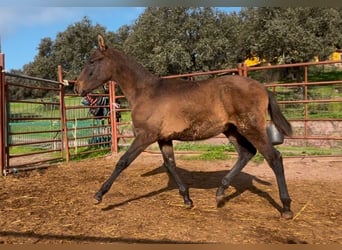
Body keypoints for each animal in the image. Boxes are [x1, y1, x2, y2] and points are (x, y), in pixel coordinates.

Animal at [75, 34, 294, 219]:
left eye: (92, 61)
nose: (77, 88)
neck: (146, 92)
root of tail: (263, 88)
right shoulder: (164, 138)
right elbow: (170, 164)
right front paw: (187, 199)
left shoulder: (145, 136)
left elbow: (123, 161)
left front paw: (99, 195)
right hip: (231, 130)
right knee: (246, 153)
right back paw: (220, 192)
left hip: (251, 128)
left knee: (274, 158)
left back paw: (286, 208)